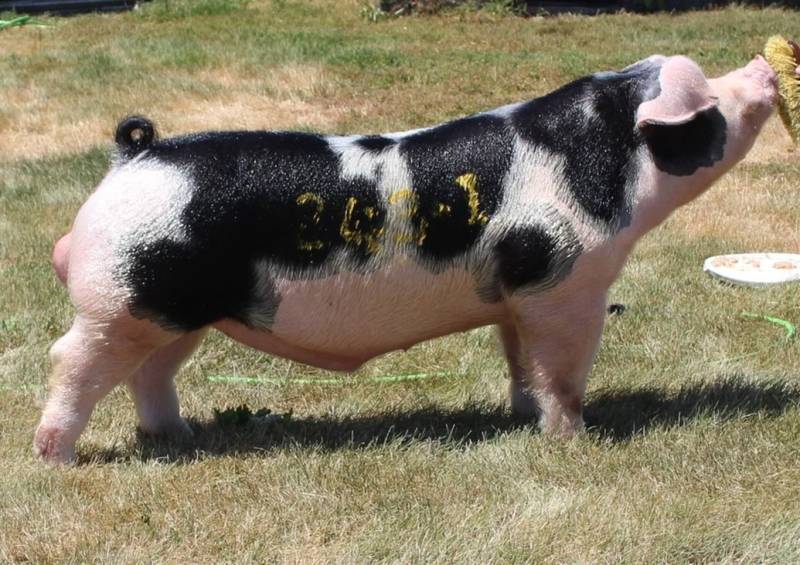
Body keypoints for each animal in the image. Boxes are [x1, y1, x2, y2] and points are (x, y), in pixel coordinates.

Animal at [35, 54, 777, 463]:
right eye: (711, 95)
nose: (765, 68)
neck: (594, 157)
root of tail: (133, 157)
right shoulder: (563, 284)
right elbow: (562, 373)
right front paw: (574, 440)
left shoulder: (515, 295)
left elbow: (520, 361)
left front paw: (519, 414)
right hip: (118, 302)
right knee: (72, 362)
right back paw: (57, 460)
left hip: (171, 309)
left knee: (149, 372)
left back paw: (180, 436)